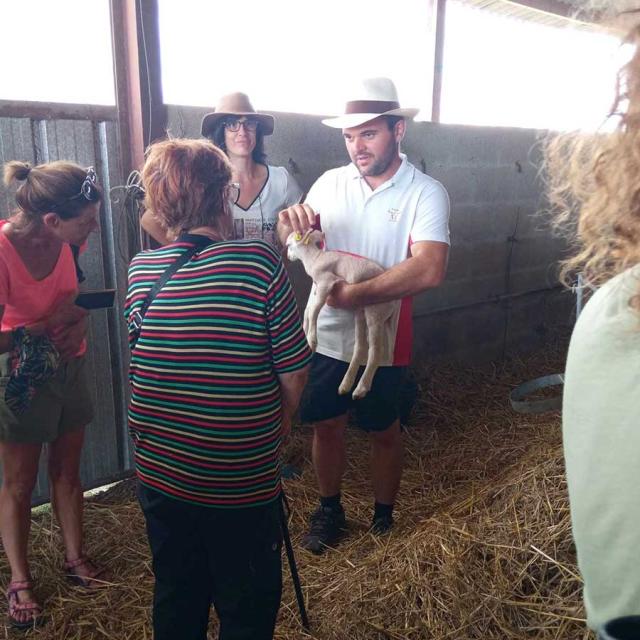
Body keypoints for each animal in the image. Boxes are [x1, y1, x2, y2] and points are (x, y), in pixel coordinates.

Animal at [288, 230, 398, 400]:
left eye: (288, 245)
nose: (287, 256)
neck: (314, 258)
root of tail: (394, 303)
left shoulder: (326, 283)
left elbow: (313, 311)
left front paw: (312, 342)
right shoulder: (318, 287)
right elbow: (308, 310)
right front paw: (306, 335)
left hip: (375, 313)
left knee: (375, 351)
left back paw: (360, 389)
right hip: (361, 312)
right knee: (360, 347)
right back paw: (346, 385)